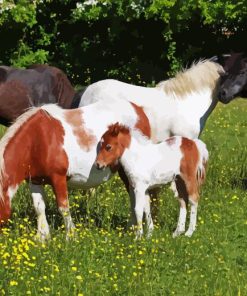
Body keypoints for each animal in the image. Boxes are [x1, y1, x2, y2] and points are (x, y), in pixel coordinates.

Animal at [0, 99, 150, 240]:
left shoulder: (58, 177)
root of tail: (139, 110)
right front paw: (42, 237)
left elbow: (63, 207)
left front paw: (70, 236)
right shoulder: (34, 180)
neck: (37, 140)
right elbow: (39, 207)